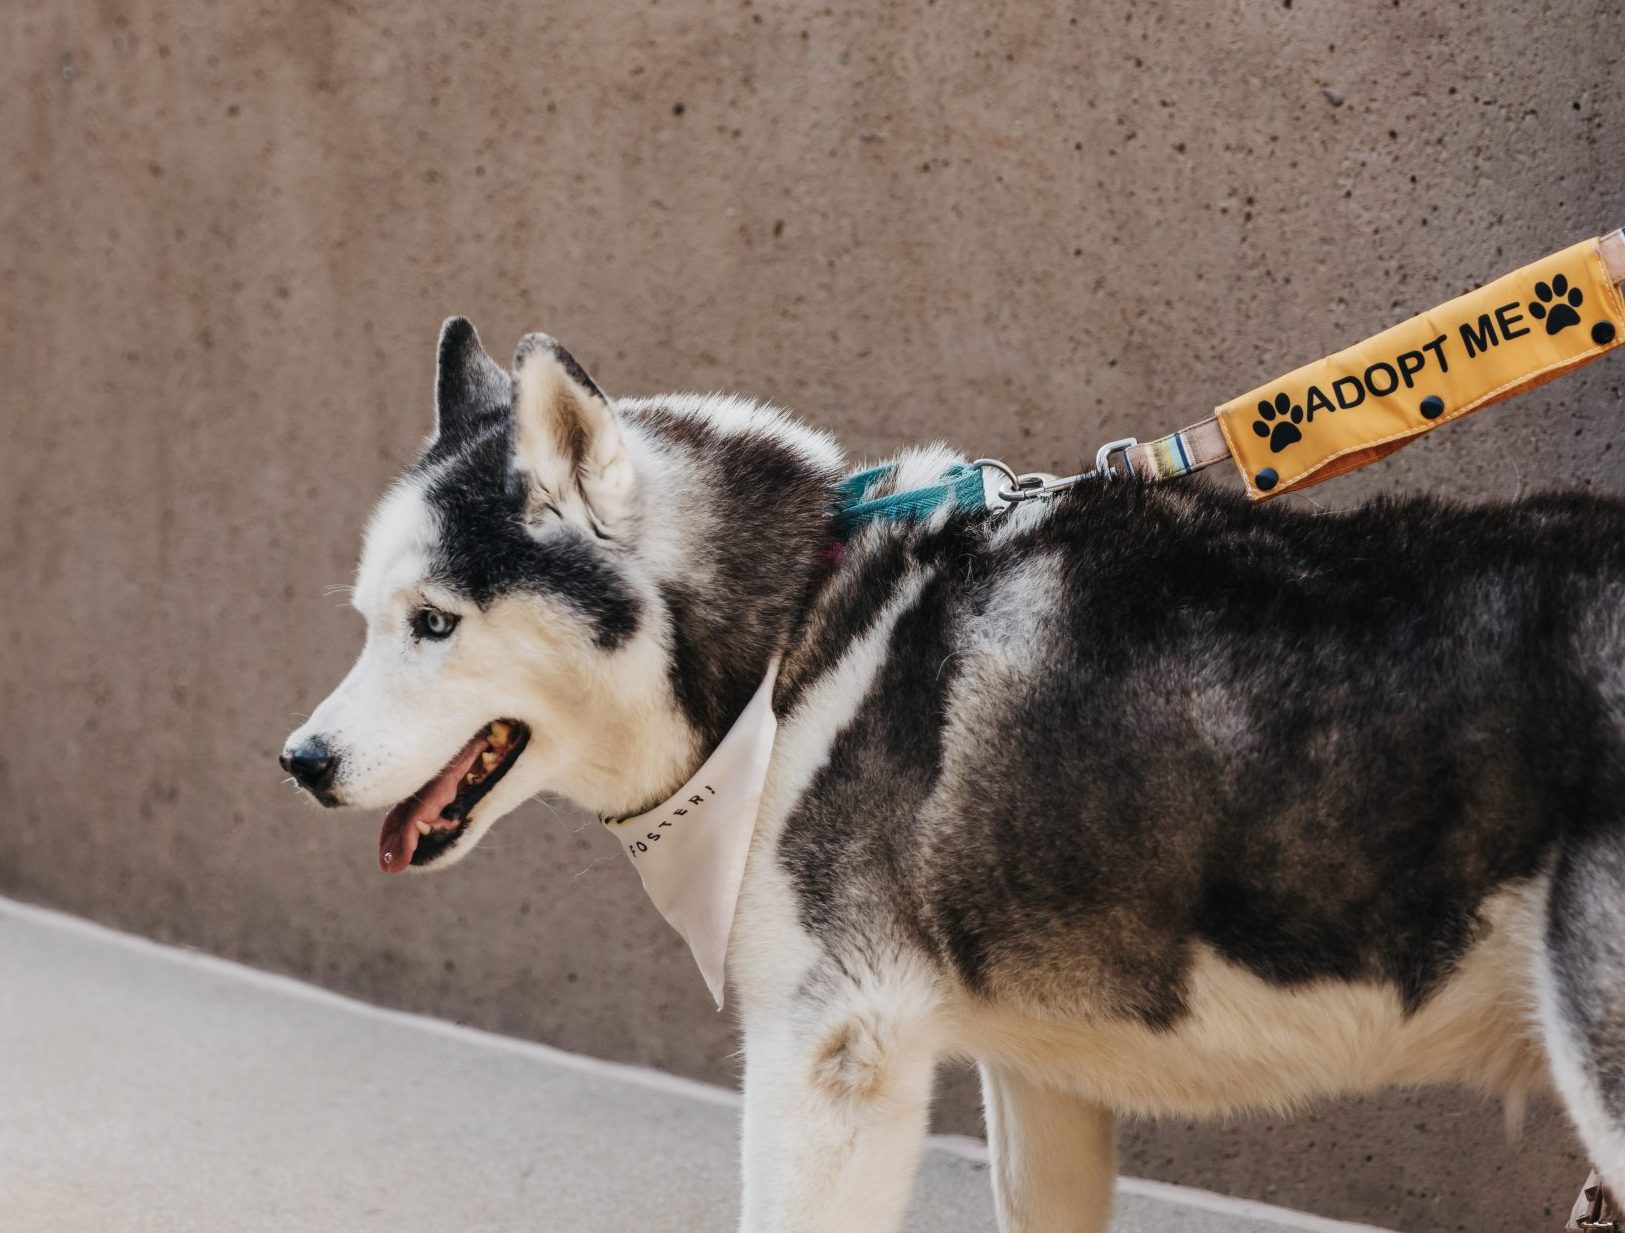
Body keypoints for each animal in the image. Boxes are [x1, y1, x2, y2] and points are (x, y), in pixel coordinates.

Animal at [286, 320, 1625, 1233]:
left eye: (436, 624)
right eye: (364, 621)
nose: (299, 762)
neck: (796, 637)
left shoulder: (831, 1066)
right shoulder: (1037, 1076)